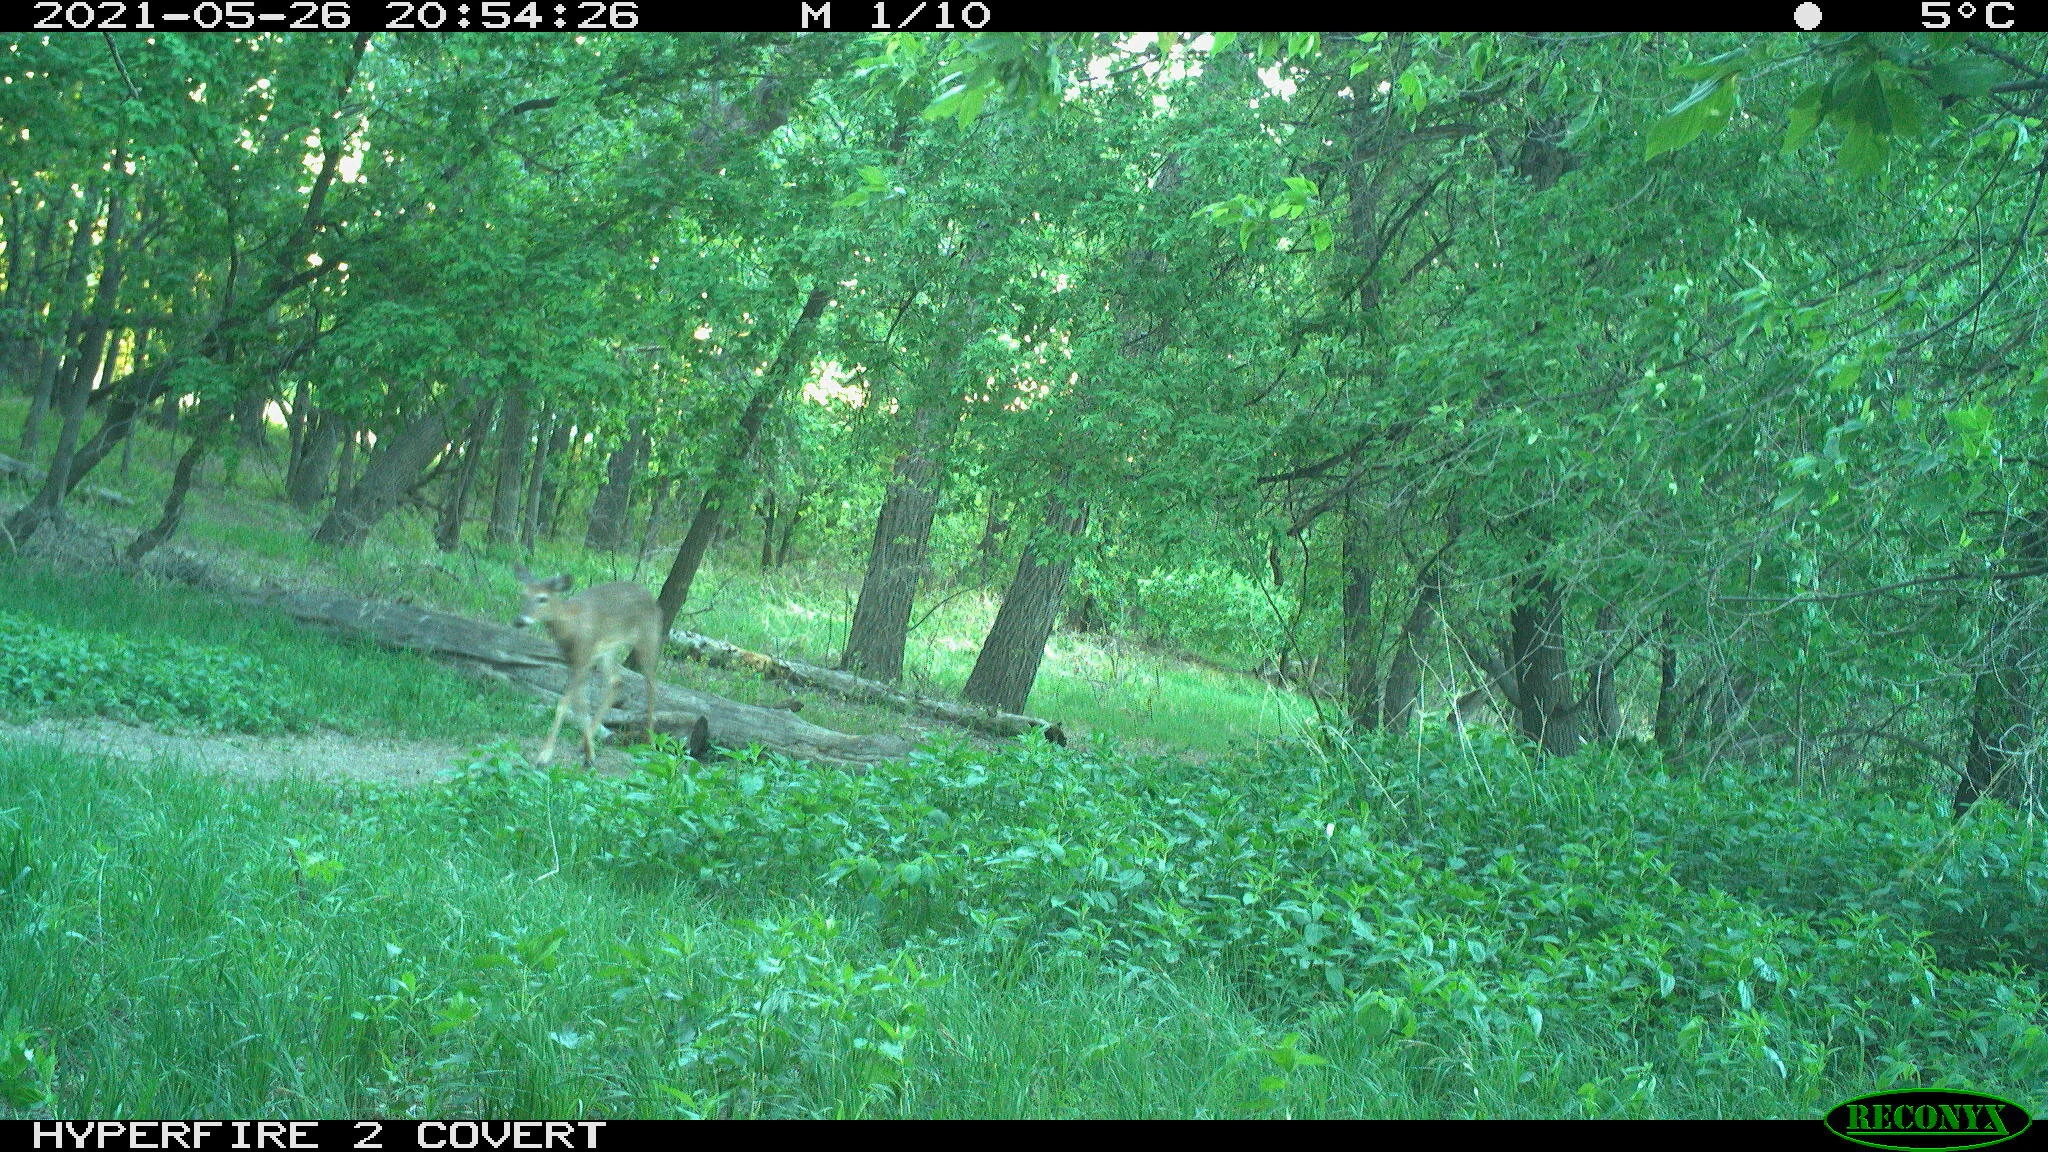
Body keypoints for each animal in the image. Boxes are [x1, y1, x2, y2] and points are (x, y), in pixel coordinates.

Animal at [512, 566, 663, 766]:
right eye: (523, 594)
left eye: (542, 598)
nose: (519, 621)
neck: (570, 628)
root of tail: (651, 597)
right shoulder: (574, 661)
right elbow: (580, 706)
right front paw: (589, 752)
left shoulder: (583, 659)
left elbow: (564, 704)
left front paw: (543, 756)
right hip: (609, 650)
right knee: (617, 682)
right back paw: (583, 742)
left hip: (649, 638)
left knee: (652, 683)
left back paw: (650, 741)